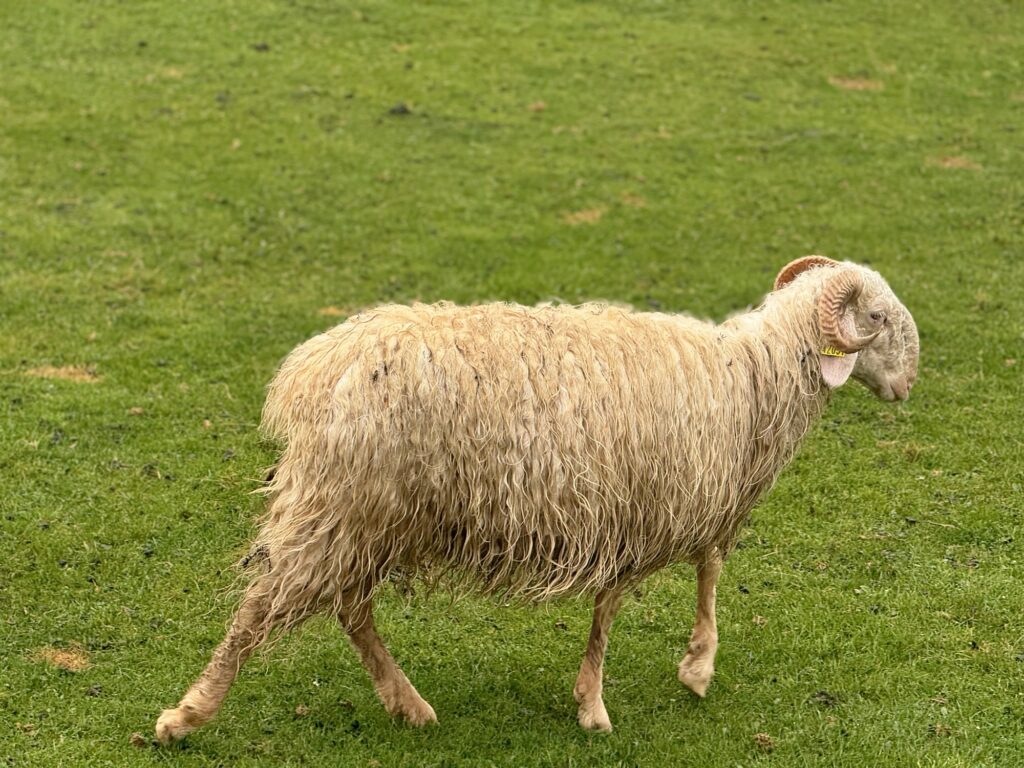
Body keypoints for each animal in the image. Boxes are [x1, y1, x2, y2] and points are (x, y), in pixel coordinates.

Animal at [155, 255, 919, 741]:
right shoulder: (647, 510)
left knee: (349, 608)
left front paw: (693, 666)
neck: (756, 374)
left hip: (368, 512)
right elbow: (618, 609)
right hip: (342, 502)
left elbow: (705, 569)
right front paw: (604, 704)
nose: (910, 382)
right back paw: (188, 715)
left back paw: (408, 704)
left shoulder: (679, 502)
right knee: (263, 606)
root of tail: (312, 373)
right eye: (878, 317)